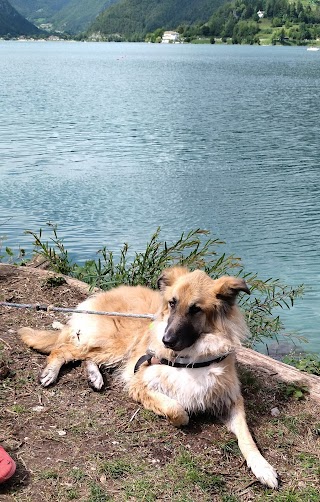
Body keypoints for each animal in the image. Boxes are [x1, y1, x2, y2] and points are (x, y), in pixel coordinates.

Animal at [18, 268, 278, 488]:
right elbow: (177, 409)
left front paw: (263, 467)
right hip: (115, 343)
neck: (192, 357)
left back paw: (94, 376)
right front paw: (180, 415)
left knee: (87, 357)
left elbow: (246, 437)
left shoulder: (230, 399)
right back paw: (51, 372)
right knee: (64, 349)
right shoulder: (139, 381)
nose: (166, 340)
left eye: (196, 309)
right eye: (172, 303)